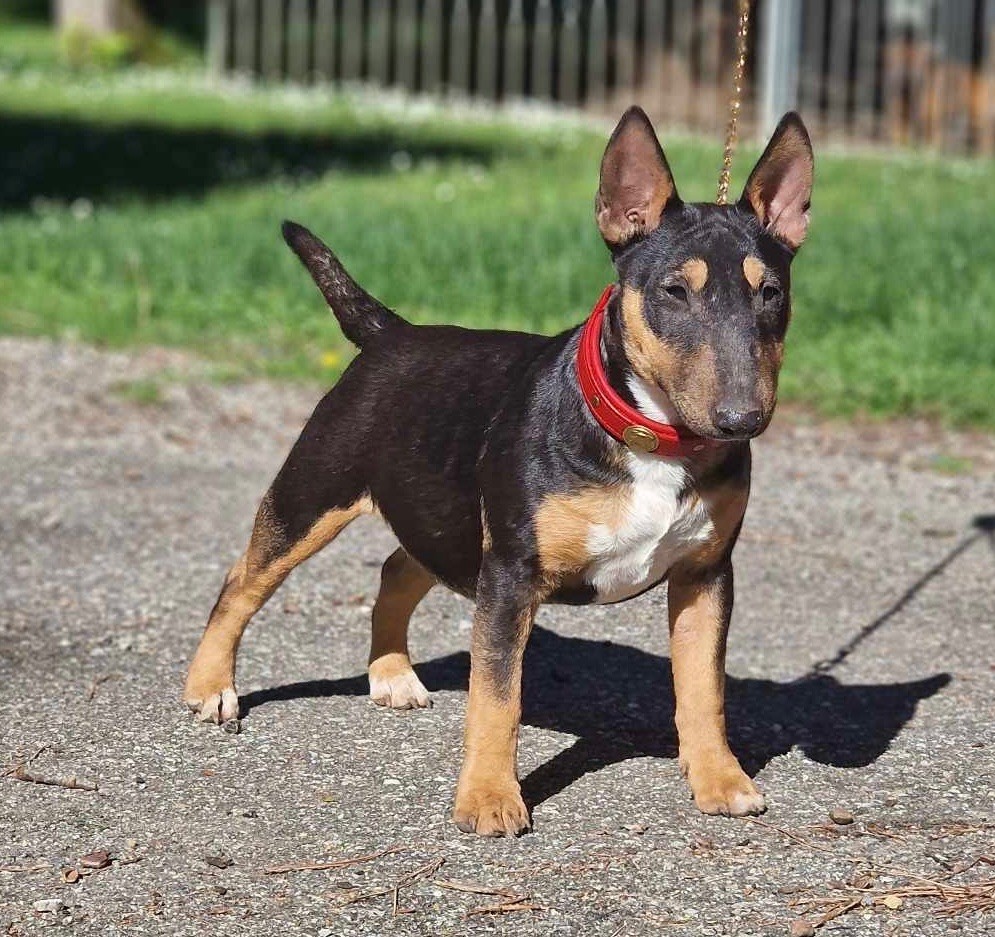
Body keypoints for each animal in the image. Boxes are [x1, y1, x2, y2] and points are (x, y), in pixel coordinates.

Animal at [187, 106, 816, 836]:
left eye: (770, 292)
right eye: (673, 291)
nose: (741, 418)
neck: (650, 437)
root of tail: (392, 334)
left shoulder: (706, 574)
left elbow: (702, 686)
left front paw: (721, 781)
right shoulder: (512, 573)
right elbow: (496, 696)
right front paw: (488, 799)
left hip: (445, 517)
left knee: (397, 568)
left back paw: (392, 675)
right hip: (315, 493)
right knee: (243, 579)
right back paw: (210, 688)